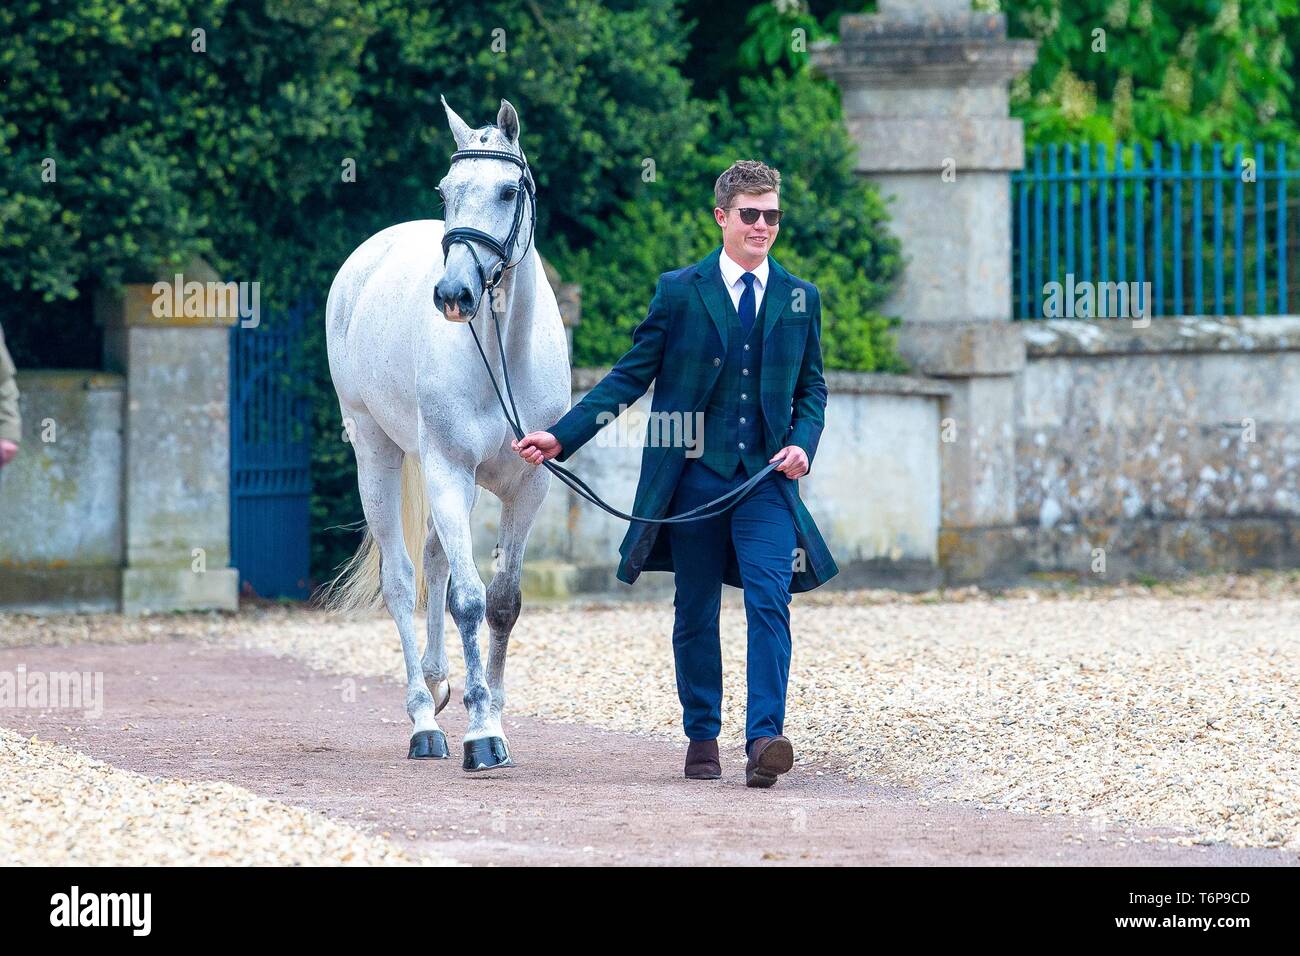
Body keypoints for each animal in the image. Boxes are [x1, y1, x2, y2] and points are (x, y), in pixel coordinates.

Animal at [323, 97, 570, 771]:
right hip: (380, 457)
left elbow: (504, 601)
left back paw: (438, 686)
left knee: (434, 561)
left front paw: (497, 715)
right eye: (445, 191)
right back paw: (423, 721)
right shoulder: (449, 472)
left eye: (509, 190)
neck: (502, 355)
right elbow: (469, 600)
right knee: (404, 578)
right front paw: (481, 734)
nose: (453, 294)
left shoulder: (527, 486)